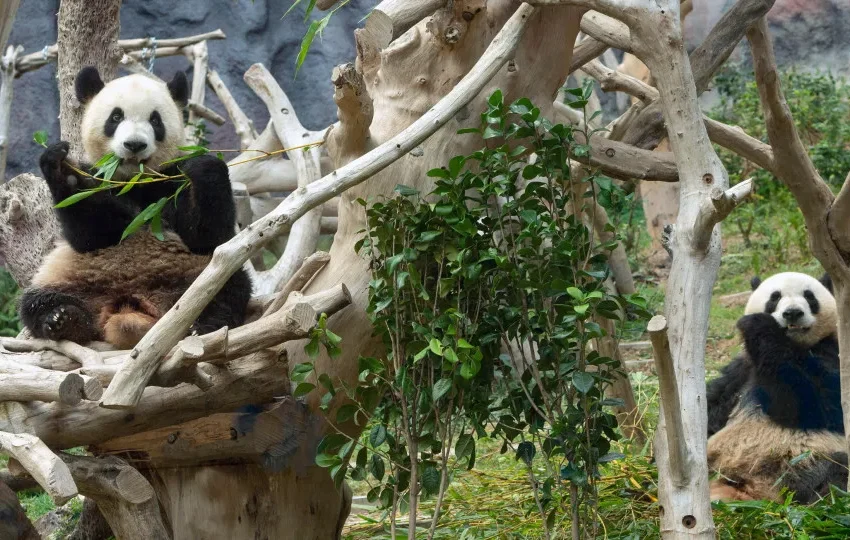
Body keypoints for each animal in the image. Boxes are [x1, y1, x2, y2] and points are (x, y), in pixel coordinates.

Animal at [18, 67, 252, 349]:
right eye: (116, 117)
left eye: (156, 120)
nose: (134, 145)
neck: (134, 179)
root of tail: (129, 306)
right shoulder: (100, 178)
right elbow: (92, 234)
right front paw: (64, 170)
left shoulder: (171, 181)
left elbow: (207, 236)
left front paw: (205, 166)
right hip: (66, 276)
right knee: (36, 302)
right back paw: (64, 319)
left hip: (194, 273)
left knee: (226, 287)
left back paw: (203, 325)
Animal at [705, 271, 847, 503]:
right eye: (775, 297)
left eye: (809, 296)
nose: (792, 313)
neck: (791, 344)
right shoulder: (742, 369)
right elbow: (715, 403)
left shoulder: (832, 353)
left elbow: (819, 403)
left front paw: (758, 324)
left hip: (807, 464)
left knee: (838, 472)